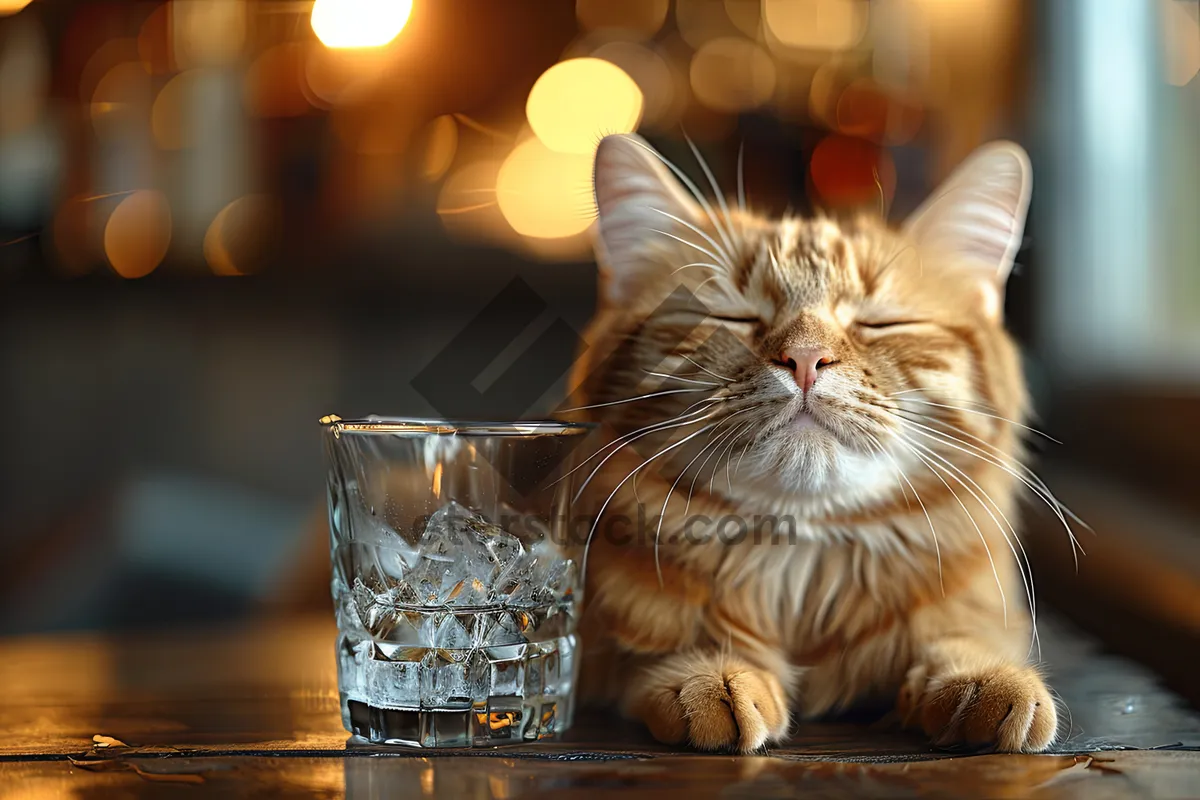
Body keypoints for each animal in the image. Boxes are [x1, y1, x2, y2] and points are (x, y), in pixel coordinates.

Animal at [566, 134, 1075, 753]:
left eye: (881, 324)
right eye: (733, 317)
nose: (806, 358)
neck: (803, 565)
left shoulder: (976, 612)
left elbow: (960, 640)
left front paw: (985, 678)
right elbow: (659, 649)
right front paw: (708, 674)